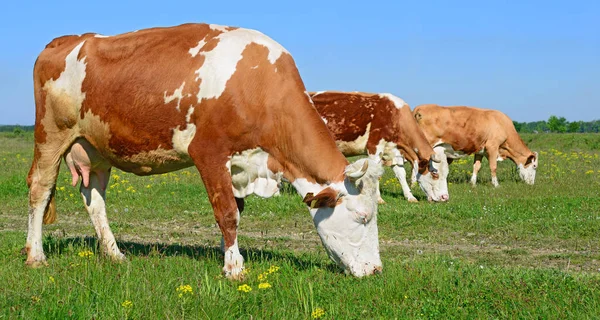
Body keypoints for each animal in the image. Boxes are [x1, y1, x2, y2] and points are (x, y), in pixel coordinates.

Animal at [25, 22, 384, 278]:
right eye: (363, 217)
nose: (377, 271)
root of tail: (65, 40)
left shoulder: (242, 164)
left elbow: (236, 211)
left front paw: (228, 255)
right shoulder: (209, 153)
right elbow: (226, 213)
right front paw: (235, 268)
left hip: (95, 149)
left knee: (95, 198)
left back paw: (114, 254)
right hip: (51, 135)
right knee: (40, 190)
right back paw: (36, 256)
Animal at [312, 91, 448, 202]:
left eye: (446, 174)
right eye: (435, 174)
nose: (445, 198)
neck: (394, 114)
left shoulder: (395, 151)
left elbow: (401, 174)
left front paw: (410, 196)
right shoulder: (374, 148)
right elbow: (376, 174)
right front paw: (379, 199)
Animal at [412, 104, 540, 186]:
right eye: (534, 166)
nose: (532, 184)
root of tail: (419, 108)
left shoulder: (480, 150)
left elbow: (476, 167)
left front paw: (472, 183)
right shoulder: (492, 147)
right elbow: (493, 167)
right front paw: (496, 184)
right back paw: (414, 184)